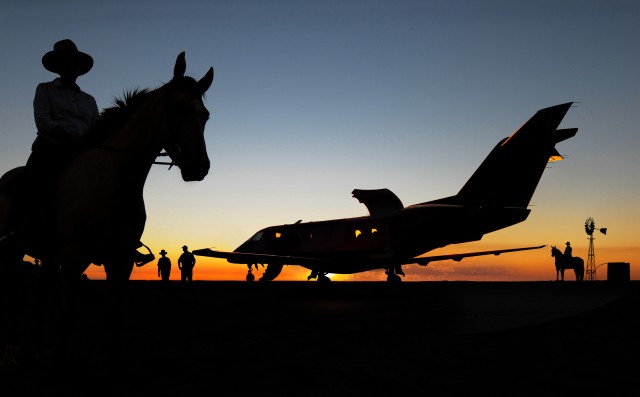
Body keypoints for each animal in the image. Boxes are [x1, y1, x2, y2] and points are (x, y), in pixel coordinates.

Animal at [0, 52, 215, 372]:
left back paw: (38, 349)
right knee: (14, 295)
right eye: (176, 108)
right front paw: (59, 360)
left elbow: (114, 318)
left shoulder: (120, 259)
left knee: (39, 295)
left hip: (49, 255)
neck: (111, 181)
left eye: (205, 115)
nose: (198, 167)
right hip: (13, 251)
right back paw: (11, 351)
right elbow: (66, 316)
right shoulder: (74, 257)